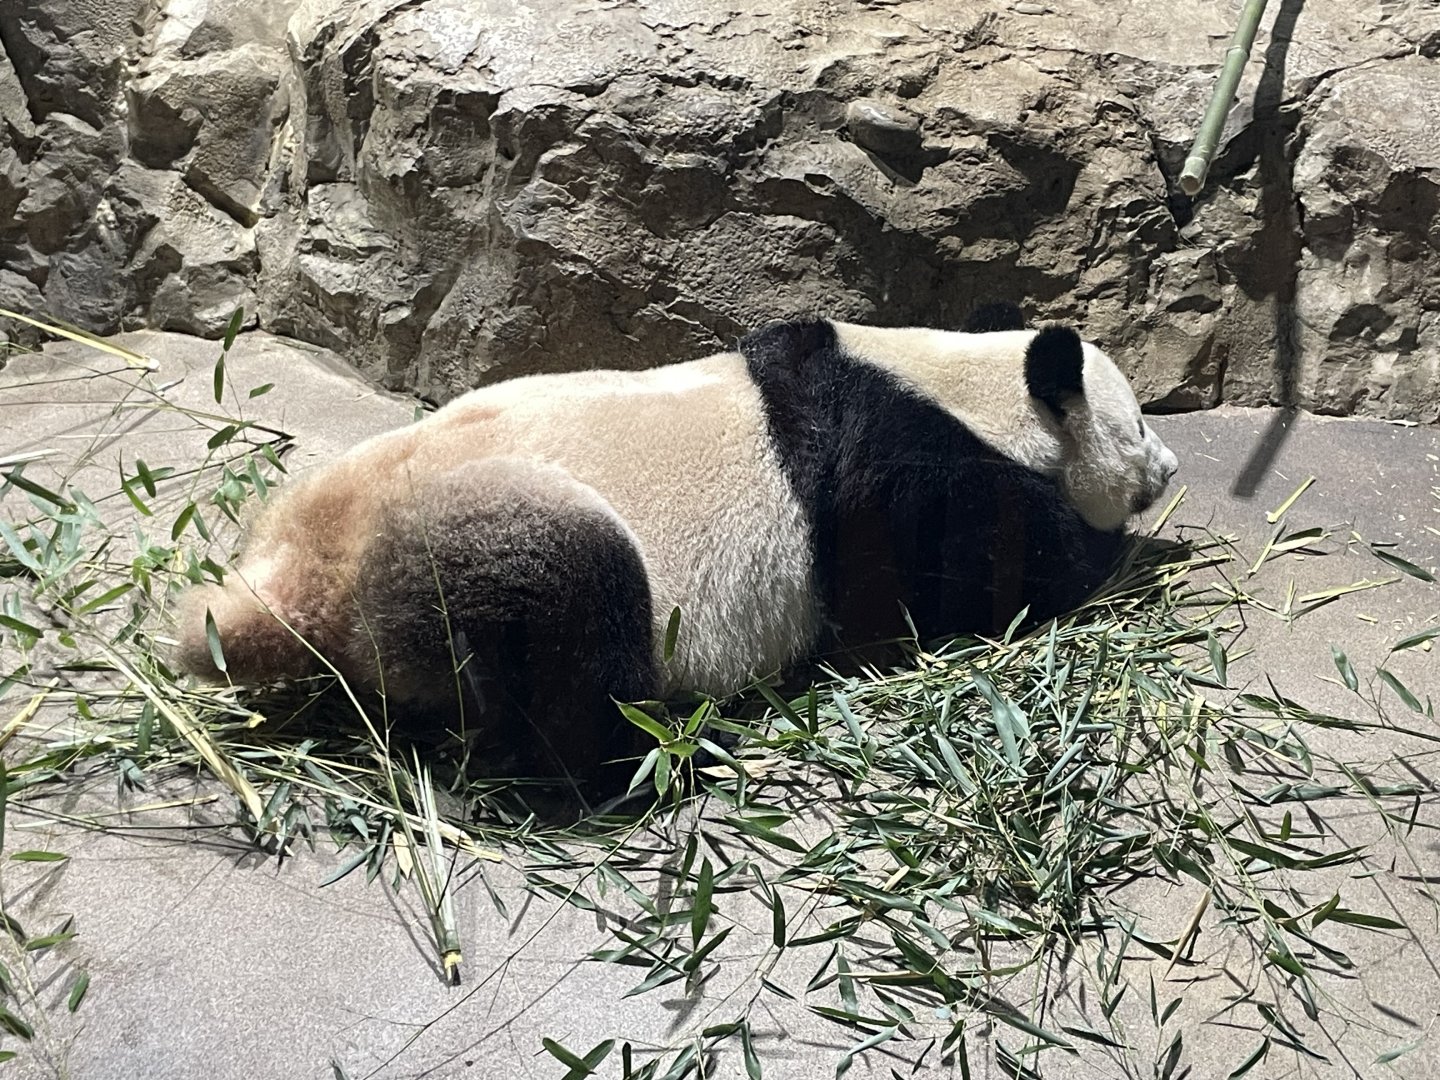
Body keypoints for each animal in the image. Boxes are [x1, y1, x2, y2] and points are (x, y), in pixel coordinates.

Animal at [174, 303, 1178, 789]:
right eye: (1137, 424)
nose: (1169, 468)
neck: (961, 381)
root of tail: (306, 579)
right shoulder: (899, 473)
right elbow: (982, 569)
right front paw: (1114, 549)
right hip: (466, 537)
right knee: (571, 619)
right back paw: (649, 758)